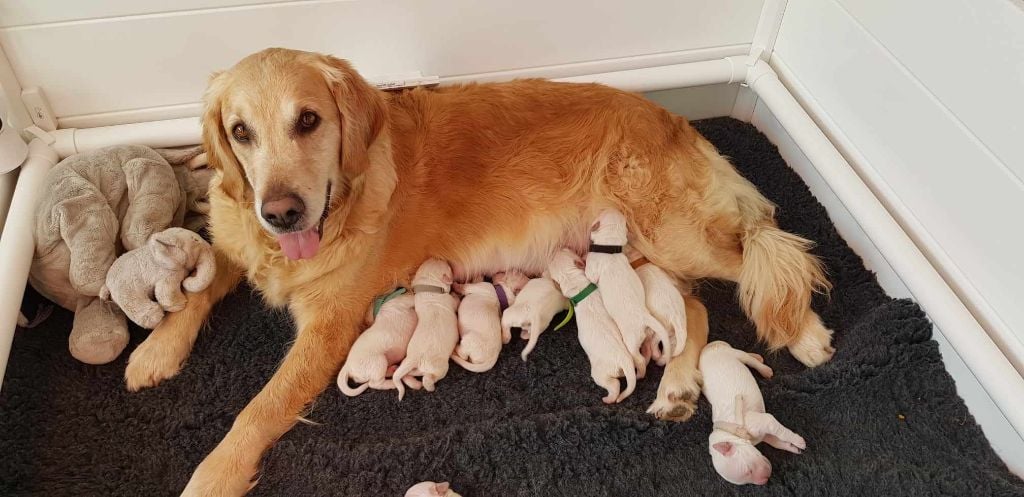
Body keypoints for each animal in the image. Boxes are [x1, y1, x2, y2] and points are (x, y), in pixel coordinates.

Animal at [391, 257, 460, 401]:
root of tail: (415, 358)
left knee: (406, 374)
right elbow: (455, 301)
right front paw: (456, 293)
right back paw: (430, 386)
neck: (430, 289)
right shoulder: (450, 301)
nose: (437, 257)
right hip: (439, 367)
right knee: (428, 379)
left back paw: (414, 383)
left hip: (409, 363)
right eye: (448, 267)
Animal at [548, 247, 634, 403]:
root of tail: (625, 360)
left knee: (614, 384)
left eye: (551, 259)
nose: (559, 248)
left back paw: (608, 399)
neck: (574, 283)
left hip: (600, 372)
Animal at [585, 208, 671, 375]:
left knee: (639, 359)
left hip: (631, 339)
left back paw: (639, 373)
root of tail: (645, 317)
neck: (610, 248)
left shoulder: (592, 267)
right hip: (646, 334)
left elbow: (589, 274)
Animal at [700, 340, 802, 483]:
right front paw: (791, 448)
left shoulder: (764, 421)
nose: (764, 481)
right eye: (746, 481)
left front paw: (799, 442)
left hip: (732, 353)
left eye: (748, 470)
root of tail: (710, 345)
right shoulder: (764, 435)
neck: (733, 431)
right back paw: (758, 357)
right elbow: (776, 441)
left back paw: (764, 369)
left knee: (748, 359)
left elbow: (782, 432)